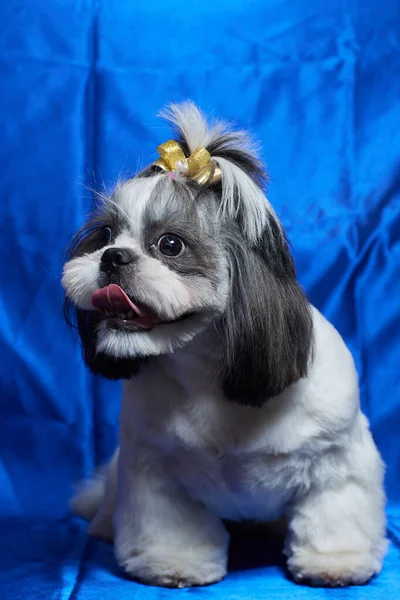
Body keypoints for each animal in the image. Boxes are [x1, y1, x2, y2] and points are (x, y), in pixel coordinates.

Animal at [62, 102, 388, 584]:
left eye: (170, 245)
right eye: (104, 236)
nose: (112, 257)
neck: (208, 373)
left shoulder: (337, 460)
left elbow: (335, 512)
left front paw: (335, 562)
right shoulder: (153, 465)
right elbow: (169, 526)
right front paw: (173, 564)